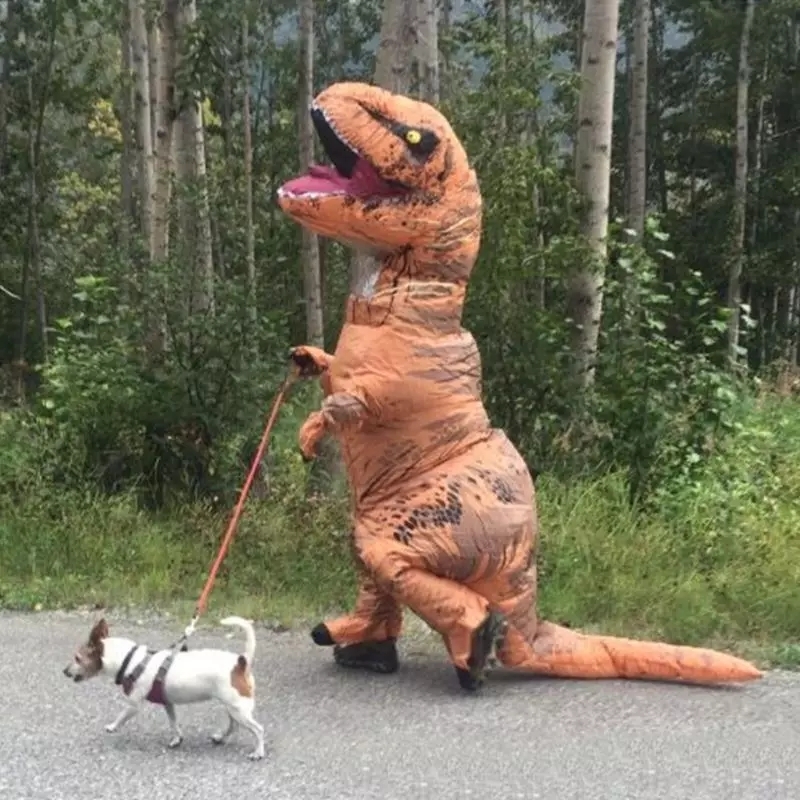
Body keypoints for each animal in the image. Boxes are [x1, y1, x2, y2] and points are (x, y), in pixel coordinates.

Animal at [65, 616, 266, 760]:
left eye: (77, 658)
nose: (64, 671)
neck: (130, 661)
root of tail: (241, 662)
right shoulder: (168, 704)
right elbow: (173, 722)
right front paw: (176, 739)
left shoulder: (133, 704)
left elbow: (122, 716)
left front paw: (113, 726)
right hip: (233, 707)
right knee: (234, 725)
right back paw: (221, 738)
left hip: (238, 708)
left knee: (258, 729)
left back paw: (258, 752)